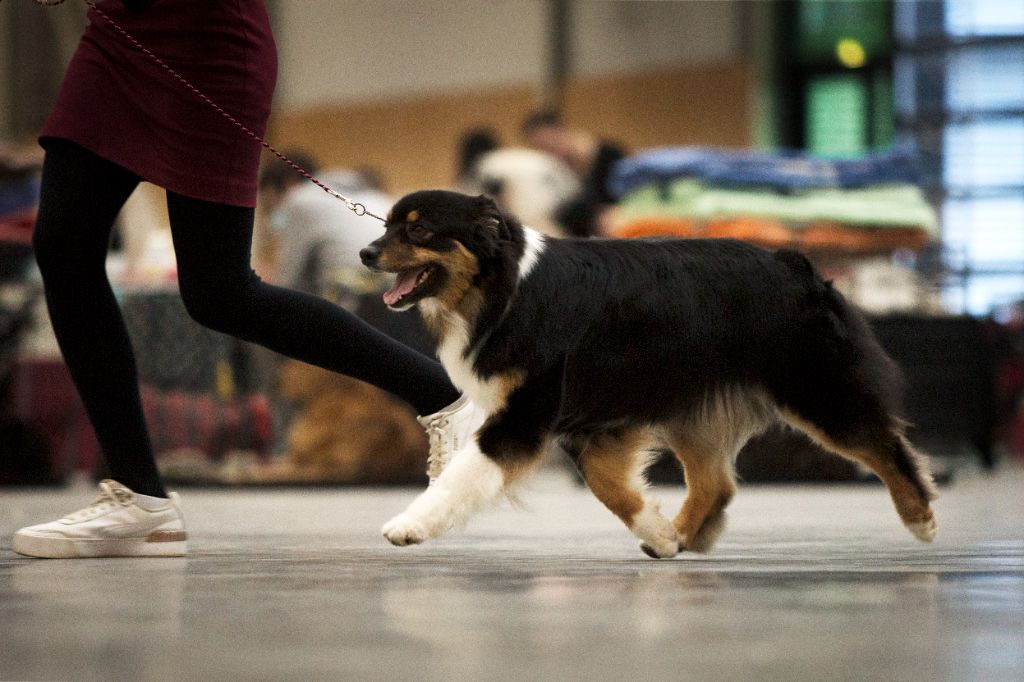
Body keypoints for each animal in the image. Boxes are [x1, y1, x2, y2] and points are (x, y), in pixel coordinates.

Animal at [358, 188, 937, 557]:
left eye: (421, 229)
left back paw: (920, 517)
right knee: (715, 483)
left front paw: (408, 525)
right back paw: (682, 534)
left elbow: (463, 476)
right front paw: (660, 534)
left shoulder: (527, 414)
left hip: (815, 386)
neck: (501, 289)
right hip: (690, 405)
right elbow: (609, 486)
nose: (364, 252)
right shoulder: (592, 423)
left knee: (884, 443)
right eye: (386, 226)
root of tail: (792, 262)